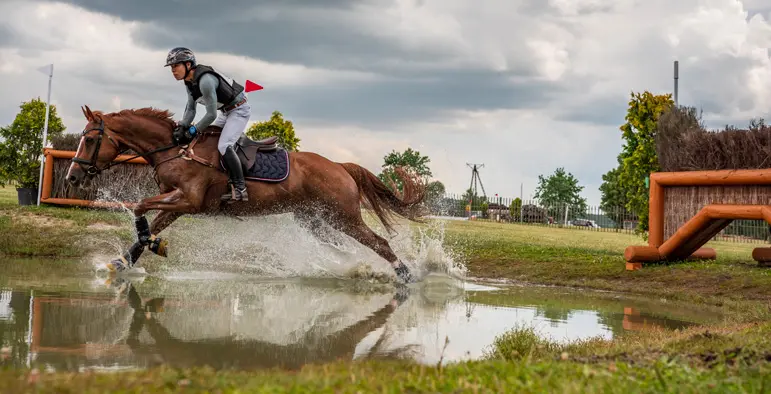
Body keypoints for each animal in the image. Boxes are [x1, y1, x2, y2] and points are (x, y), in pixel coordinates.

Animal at [65, 104, 428, 284]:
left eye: (90, 139)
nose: (72, 177)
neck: (175, 150)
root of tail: (339, 165)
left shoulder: (189, 200)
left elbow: (140, 208)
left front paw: (150, 248)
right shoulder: (178, 204)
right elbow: (146, 230)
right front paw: (121, 262)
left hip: (344, 216)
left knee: (379, 243)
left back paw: (405, 275)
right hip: (316, 221)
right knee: (345, 246)